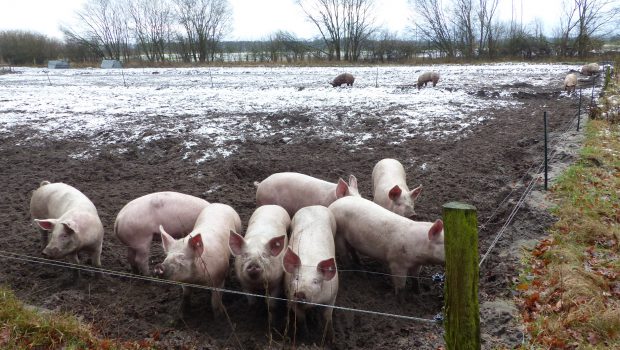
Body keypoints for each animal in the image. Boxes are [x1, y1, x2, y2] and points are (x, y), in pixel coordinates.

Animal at [282, 205, 336, 342]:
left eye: (315, 281)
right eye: (296, 278)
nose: (300, 292)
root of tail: (313, 206)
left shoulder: (332, 294)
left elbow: (327, 316)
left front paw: (331, 340)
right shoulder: (290, 296)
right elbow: (300, 319)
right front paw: (306, 338)